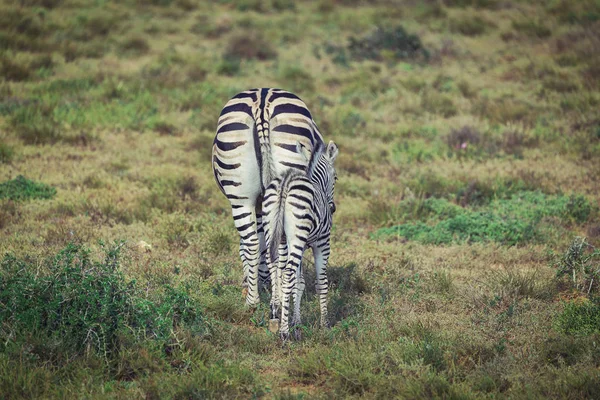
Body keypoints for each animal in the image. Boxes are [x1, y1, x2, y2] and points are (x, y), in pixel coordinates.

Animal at [211, 88, 324, 306]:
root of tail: (262, 100)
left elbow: (256, 245)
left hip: (241, 196)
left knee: (252, 243)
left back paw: (253, 301)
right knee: (274, 246)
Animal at [262, 139, 338, 340]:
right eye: (335, 178)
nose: (333, 208)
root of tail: (286, 182)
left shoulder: (300, 245)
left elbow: (299, 282)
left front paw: (296, 320)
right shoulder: (322, 243)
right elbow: (321, 282)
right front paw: (325, 324)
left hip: (274, 232)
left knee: (275, 267)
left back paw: (276, 315)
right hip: (297, 235)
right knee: (287, 272)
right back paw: (284, 333)